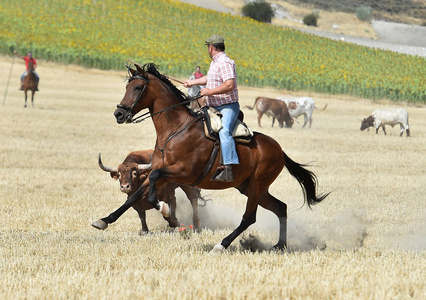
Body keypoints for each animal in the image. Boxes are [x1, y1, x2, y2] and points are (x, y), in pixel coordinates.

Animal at [99, 62, 330, 253]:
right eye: (127, 87)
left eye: (138, 88)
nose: (119, 114)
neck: (176, 130)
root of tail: (278, 149)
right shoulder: (160, 173)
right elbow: (135, 196)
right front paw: (104, 220)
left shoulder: (183, 173)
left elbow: (155, 186)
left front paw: (167, 213)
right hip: (250, 187)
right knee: (281, 207)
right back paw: (280, 245)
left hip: (257, 185)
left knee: (249, 217)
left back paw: (222, 245)